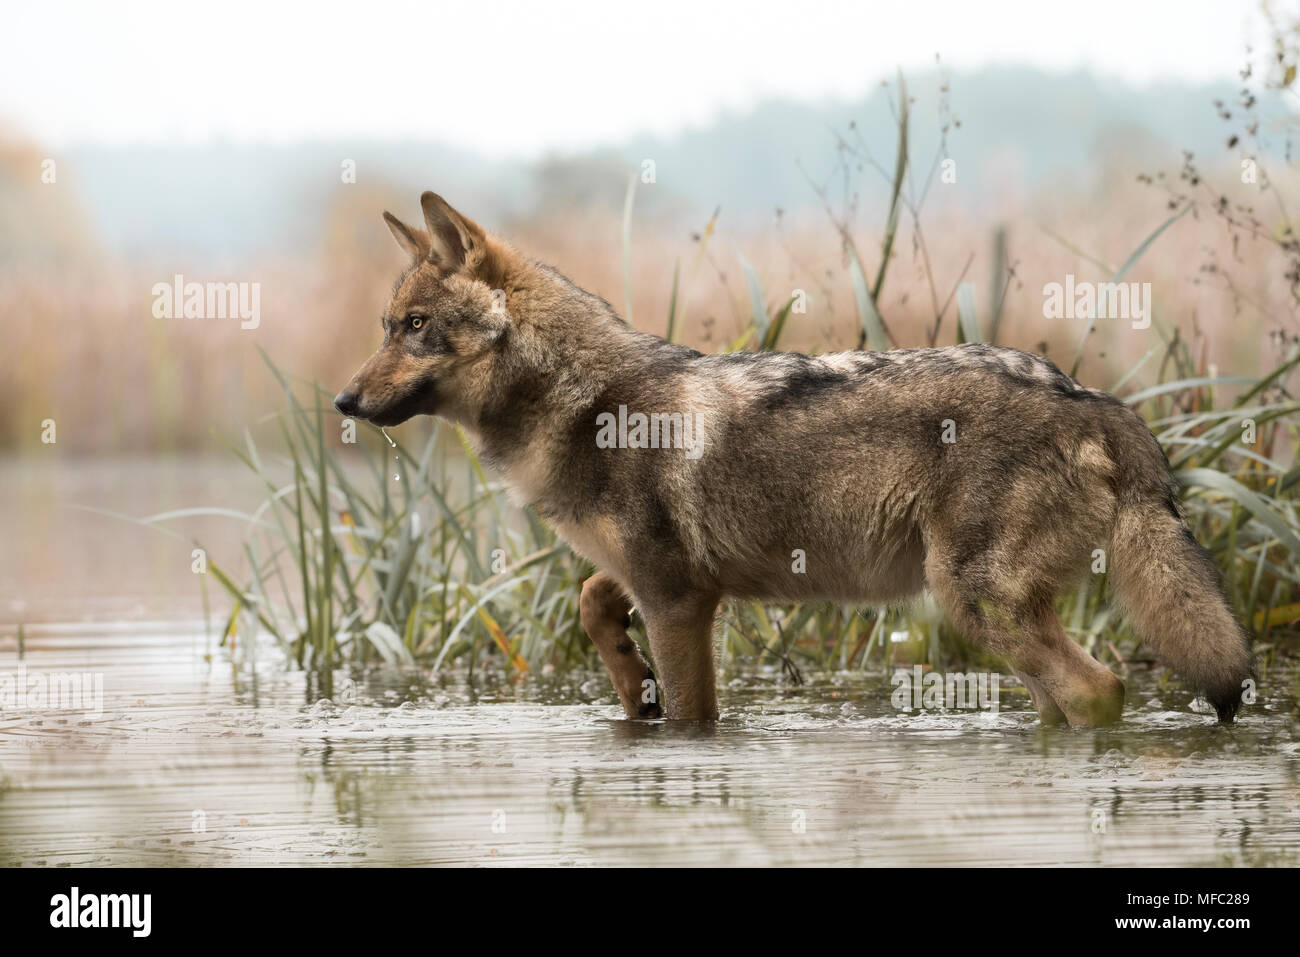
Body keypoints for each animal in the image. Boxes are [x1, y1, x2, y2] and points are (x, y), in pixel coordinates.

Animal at [335, 195, 1248, 728]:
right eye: (385, 326)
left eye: (413, 327)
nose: (342, 401)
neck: (587, 400)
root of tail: (1096, 400)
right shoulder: (657, 580)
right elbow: (594, 599)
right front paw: (631, 684)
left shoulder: (680, 603)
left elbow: (692, 717)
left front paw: (654, 703)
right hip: (1001, 621)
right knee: (1071, 697)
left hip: (973, 600)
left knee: (1101, 690)